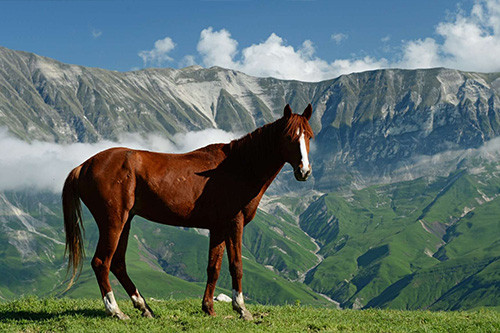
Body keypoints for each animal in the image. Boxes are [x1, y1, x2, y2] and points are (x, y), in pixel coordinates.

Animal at [61, 104, 312, 320]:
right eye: (289, 136)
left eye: (308, 136)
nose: (304, 171)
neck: (238, 167)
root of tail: (83, 166)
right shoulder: (234, 223)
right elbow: (236, 266)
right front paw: (241, 309)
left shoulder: (218, 228)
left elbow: (214, 268)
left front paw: (208, 308)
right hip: (113, 222)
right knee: (101, 262)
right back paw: (116, 311)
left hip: (125, 222)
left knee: (118, 264)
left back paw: (144, 307)